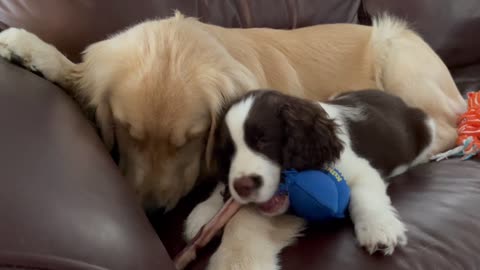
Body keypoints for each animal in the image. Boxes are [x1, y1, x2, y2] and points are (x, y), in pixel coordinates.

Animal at [185, 89, 436, 260]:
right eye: (228, 152)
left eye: (263, 140)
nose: (243, 186)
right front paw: (204, 211)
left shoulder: (360, 170)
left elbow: (366, 197)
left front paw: (378, 229)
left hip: (427, 126)